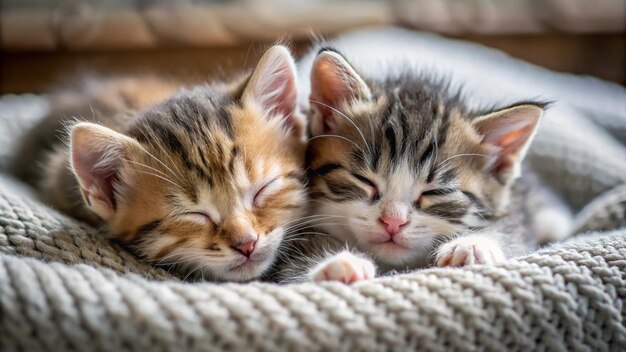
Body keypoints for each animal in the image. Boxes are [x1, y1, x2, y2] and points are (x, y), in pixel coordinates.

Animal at [270, 47, 568, 284]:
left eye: (436, 192)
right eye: (363, 180)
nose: (393, 222)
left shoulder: (514, 210)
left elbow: (514, 228)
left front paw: (472, 245)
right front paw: (337, 264)